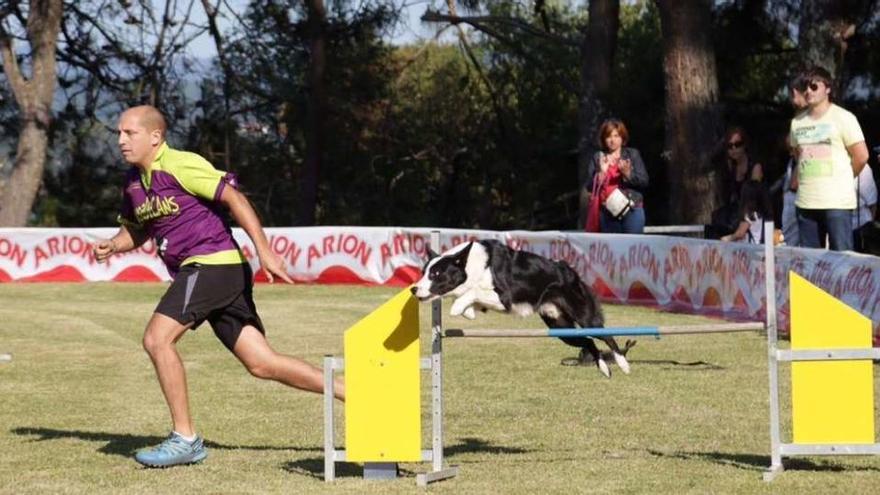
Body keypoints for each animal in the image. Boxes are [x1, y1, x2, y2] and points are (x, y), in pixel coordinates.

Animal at [412, 239, 632, 376]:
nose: (414, 289)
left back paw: (623, 364)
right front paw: (468, 311)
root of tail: (568, 270)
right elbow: (470, 298)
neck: (471, 266)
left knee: (606, 336)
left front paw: (458, 307)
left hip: (584, 316)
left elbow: (472, 292)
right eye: (423, 272)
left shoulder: (504, 297)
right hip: (561, 328)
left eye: (436, 274)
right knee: (587, 341)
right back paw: (604, 368)